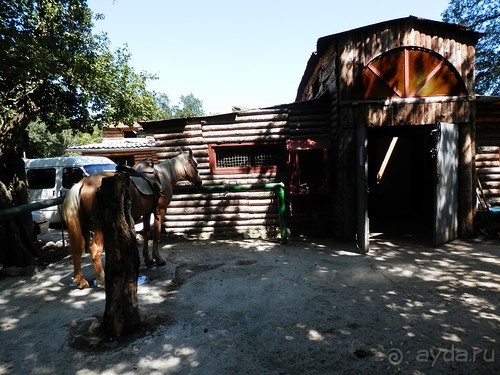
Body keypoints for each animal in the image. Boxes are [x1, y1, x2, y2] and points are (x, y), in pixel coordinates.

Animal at [62, 148, 201, 290]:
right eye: (195, 165)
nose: (199, 182)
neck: (164, 177)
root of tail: (83, 183)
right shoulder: (159, 211)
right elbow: (156, 234)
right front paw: (158, 259)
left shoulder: (147, 213)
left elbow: (146, 233)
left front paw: (148, 259)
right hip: (99, 224)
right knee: (94, 248)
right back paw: (101, 280)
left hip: (84, 222)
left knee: (77, 249)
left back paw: (81, 280)